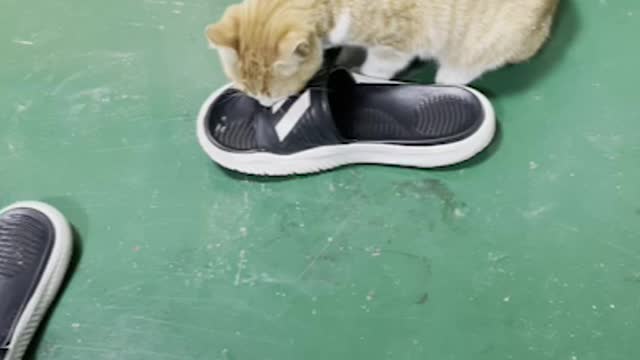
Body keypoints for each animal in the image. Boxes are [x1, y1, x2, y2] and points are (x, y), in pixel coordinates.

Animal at [206, 0, 560, 106]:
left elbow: (377, 68)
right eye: (247, 91)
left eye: (272, 94)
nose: (264, 107)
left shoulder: (397, 44)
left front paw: (361, 76)